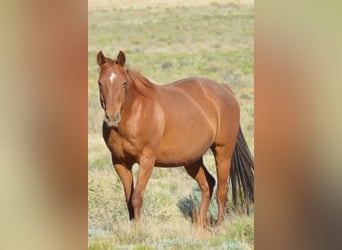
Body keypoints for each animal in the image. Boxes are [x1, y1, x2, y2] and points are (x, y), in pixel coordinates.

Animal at [96, 49, 254, 228]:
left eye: (123, 83)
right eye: (100, 83)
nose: (112, 117)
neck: (135, 113)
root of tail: (225, 90)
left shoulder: (147, 160)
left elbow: (136, 198)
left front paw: (139, 230)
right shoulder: (120, 163)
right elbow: (129, 200)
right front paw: (132, 228)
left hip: (223, 152)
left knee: (222, 189)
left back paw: (219, 225)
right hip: (192, 160)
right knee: (208, 184)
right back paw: (200, 225)